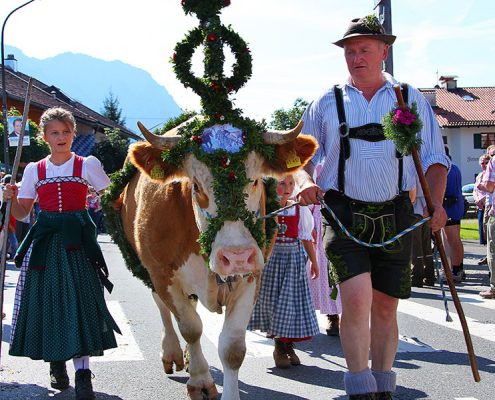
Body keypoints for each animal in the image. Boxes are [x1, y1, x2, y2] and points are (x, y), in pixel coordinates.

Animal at [118, 119, 316, 400]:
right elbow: (191, 328)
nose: (237, 256)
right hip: (148, 269)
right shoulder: (162, 273)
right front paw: (200, 381)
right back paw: (172, 353)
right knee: (163, 308)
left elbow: (233, 348)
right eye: (196, 186)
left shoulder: (251, 277)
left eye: (256, 181)